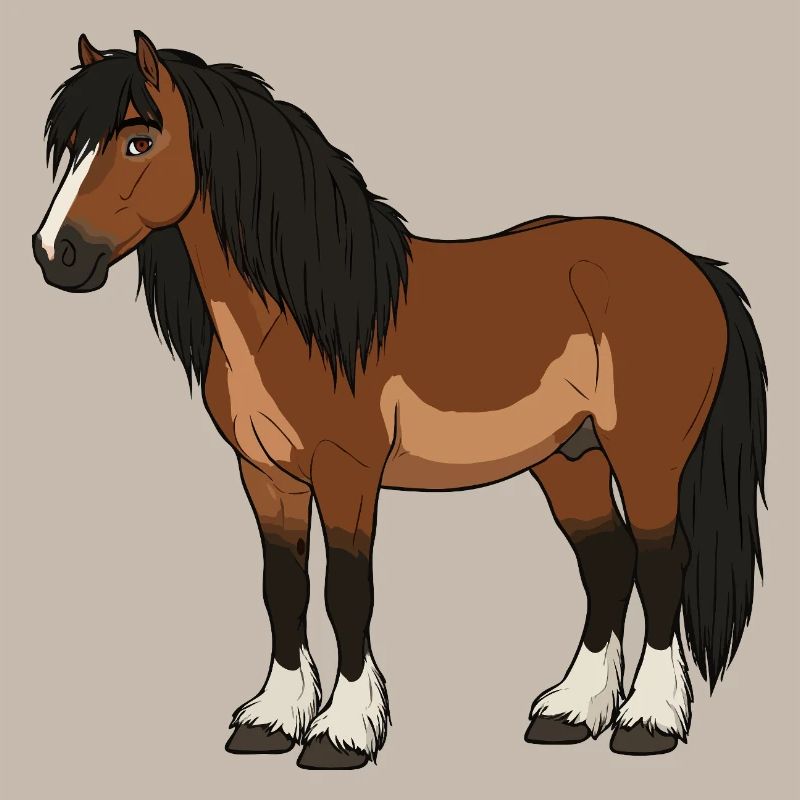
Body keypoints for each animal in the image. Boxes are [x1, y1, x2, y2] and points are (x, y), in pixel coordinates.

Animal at [32, 31, 767, 770]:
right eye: (71, 145)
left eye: (138, 140)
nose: (54, 253)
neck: (304, 315)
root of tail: (695, 268)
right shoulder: (265, 475)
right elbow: (283, 589)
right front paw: (273, 720)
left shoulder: (348, 473)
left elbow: (346, 593)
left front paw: (343, 731)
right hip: (570, 457)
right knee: (608, 560)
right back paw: (571, 711)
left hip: (645, 459)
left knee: (661, 563)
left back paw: (648, 721)